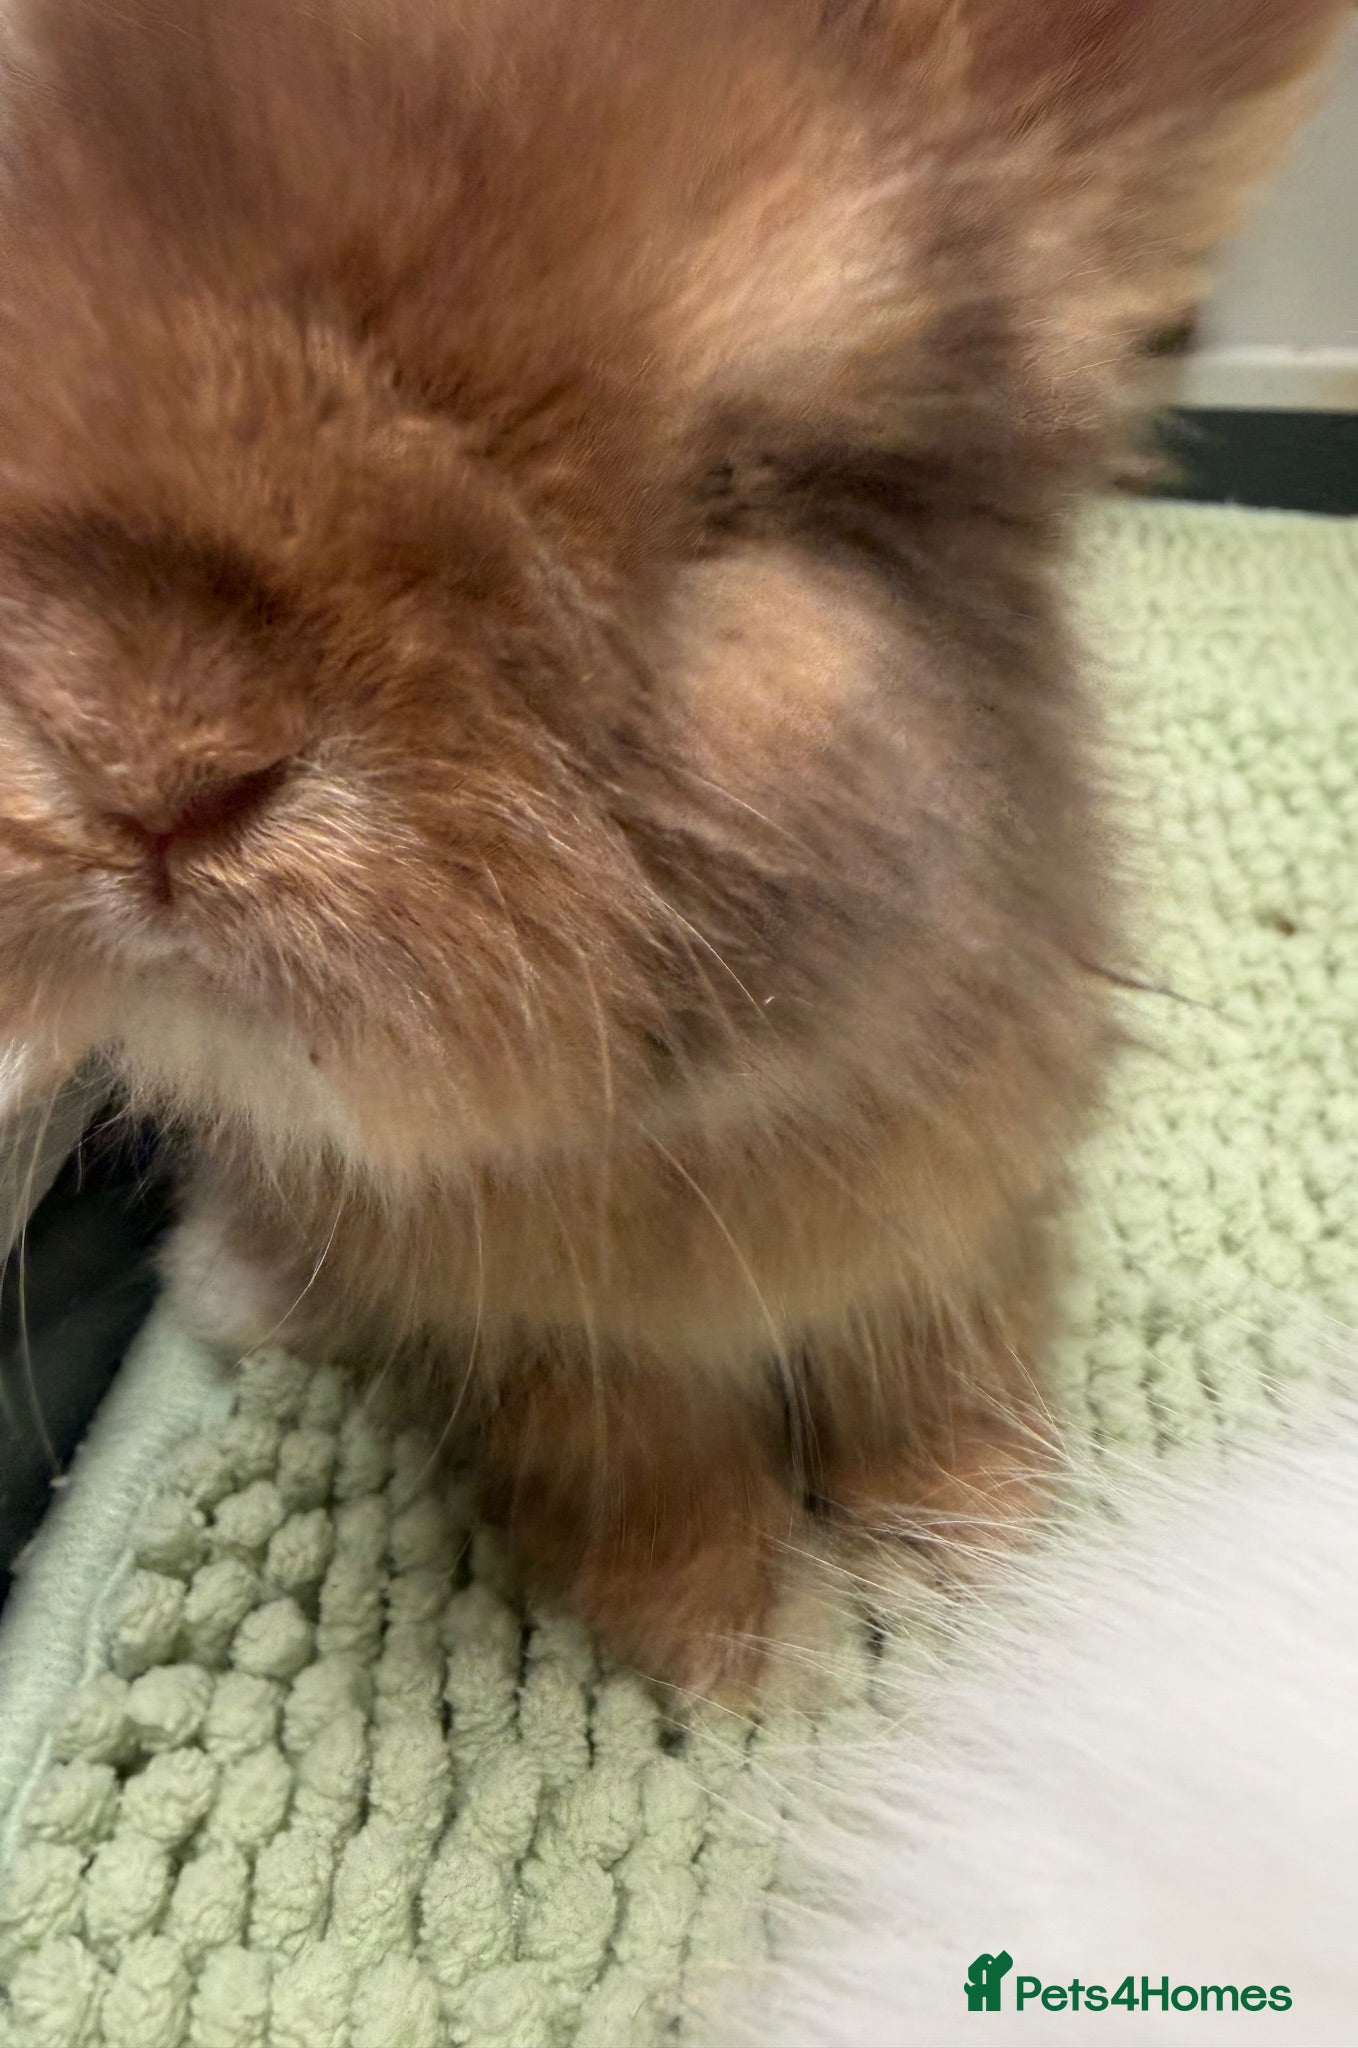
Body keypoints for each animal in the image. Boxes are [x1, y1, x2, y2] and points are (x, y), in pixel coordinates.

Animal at [0, 0, 1343, 1697]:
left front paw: (971, 1561)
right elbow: (643, 1471)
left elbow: (930, 1387)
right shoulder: (560, 1353)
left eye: (733, 486)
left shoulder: (959, 1231)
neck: (673, 1129)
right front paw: (729, 1657)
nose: (142, 766)